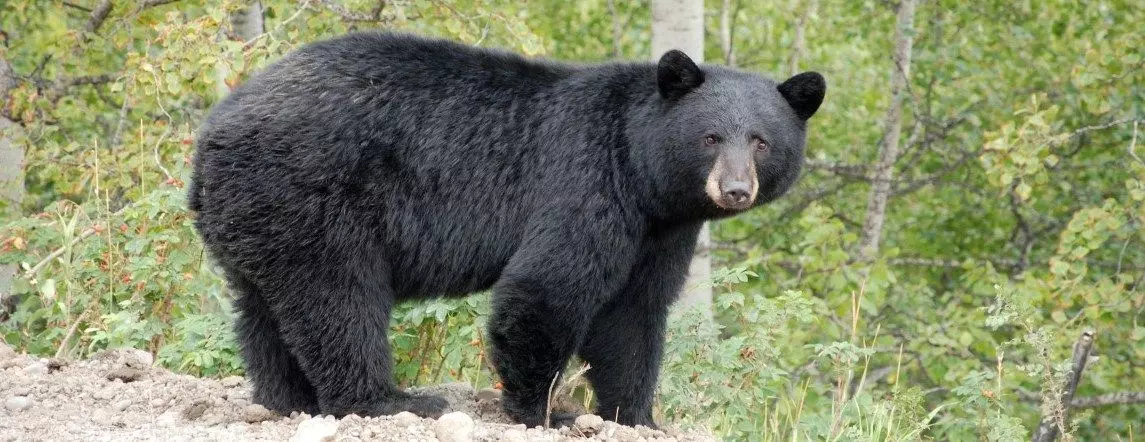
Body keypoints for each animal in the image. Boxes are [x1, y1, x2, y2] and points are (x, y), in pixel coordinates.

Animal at [192, 31, 828, 428]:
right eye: (711, 137)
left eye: (762, 141)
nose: (735, 189)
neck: (641, 171)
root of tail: (212, 135)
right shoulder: (586, 183)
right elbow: (547, 287)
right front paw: (546, 411)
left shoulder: (661, 229)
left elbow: (634, 312)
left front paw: (636, 415)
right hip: (312, 197)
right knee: (338, 299)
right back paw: (387, 400)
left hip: (257, 215)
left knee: (263, 308)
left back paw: (287, 399)